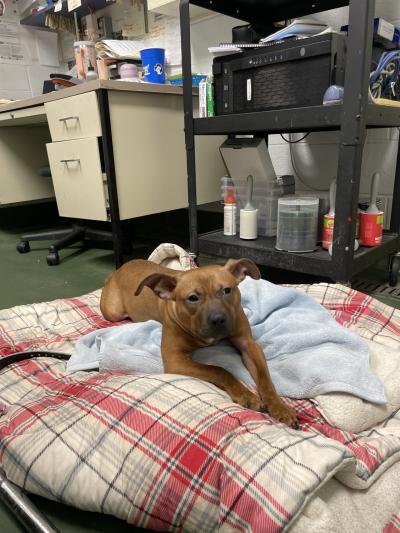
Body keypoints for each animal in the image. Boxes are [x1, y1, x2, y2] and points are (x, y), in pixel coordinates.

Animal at [100, 258, 298, 428]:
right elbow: (219, 370)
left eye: (227, 290)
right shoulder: (175, 360)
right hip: (113, 312)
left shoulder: (248, 344)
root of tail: (118, 270)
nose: (218, 320)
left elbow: (265, 379)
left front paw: (280, 407)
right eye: (193, 298)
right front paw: (245, 395)